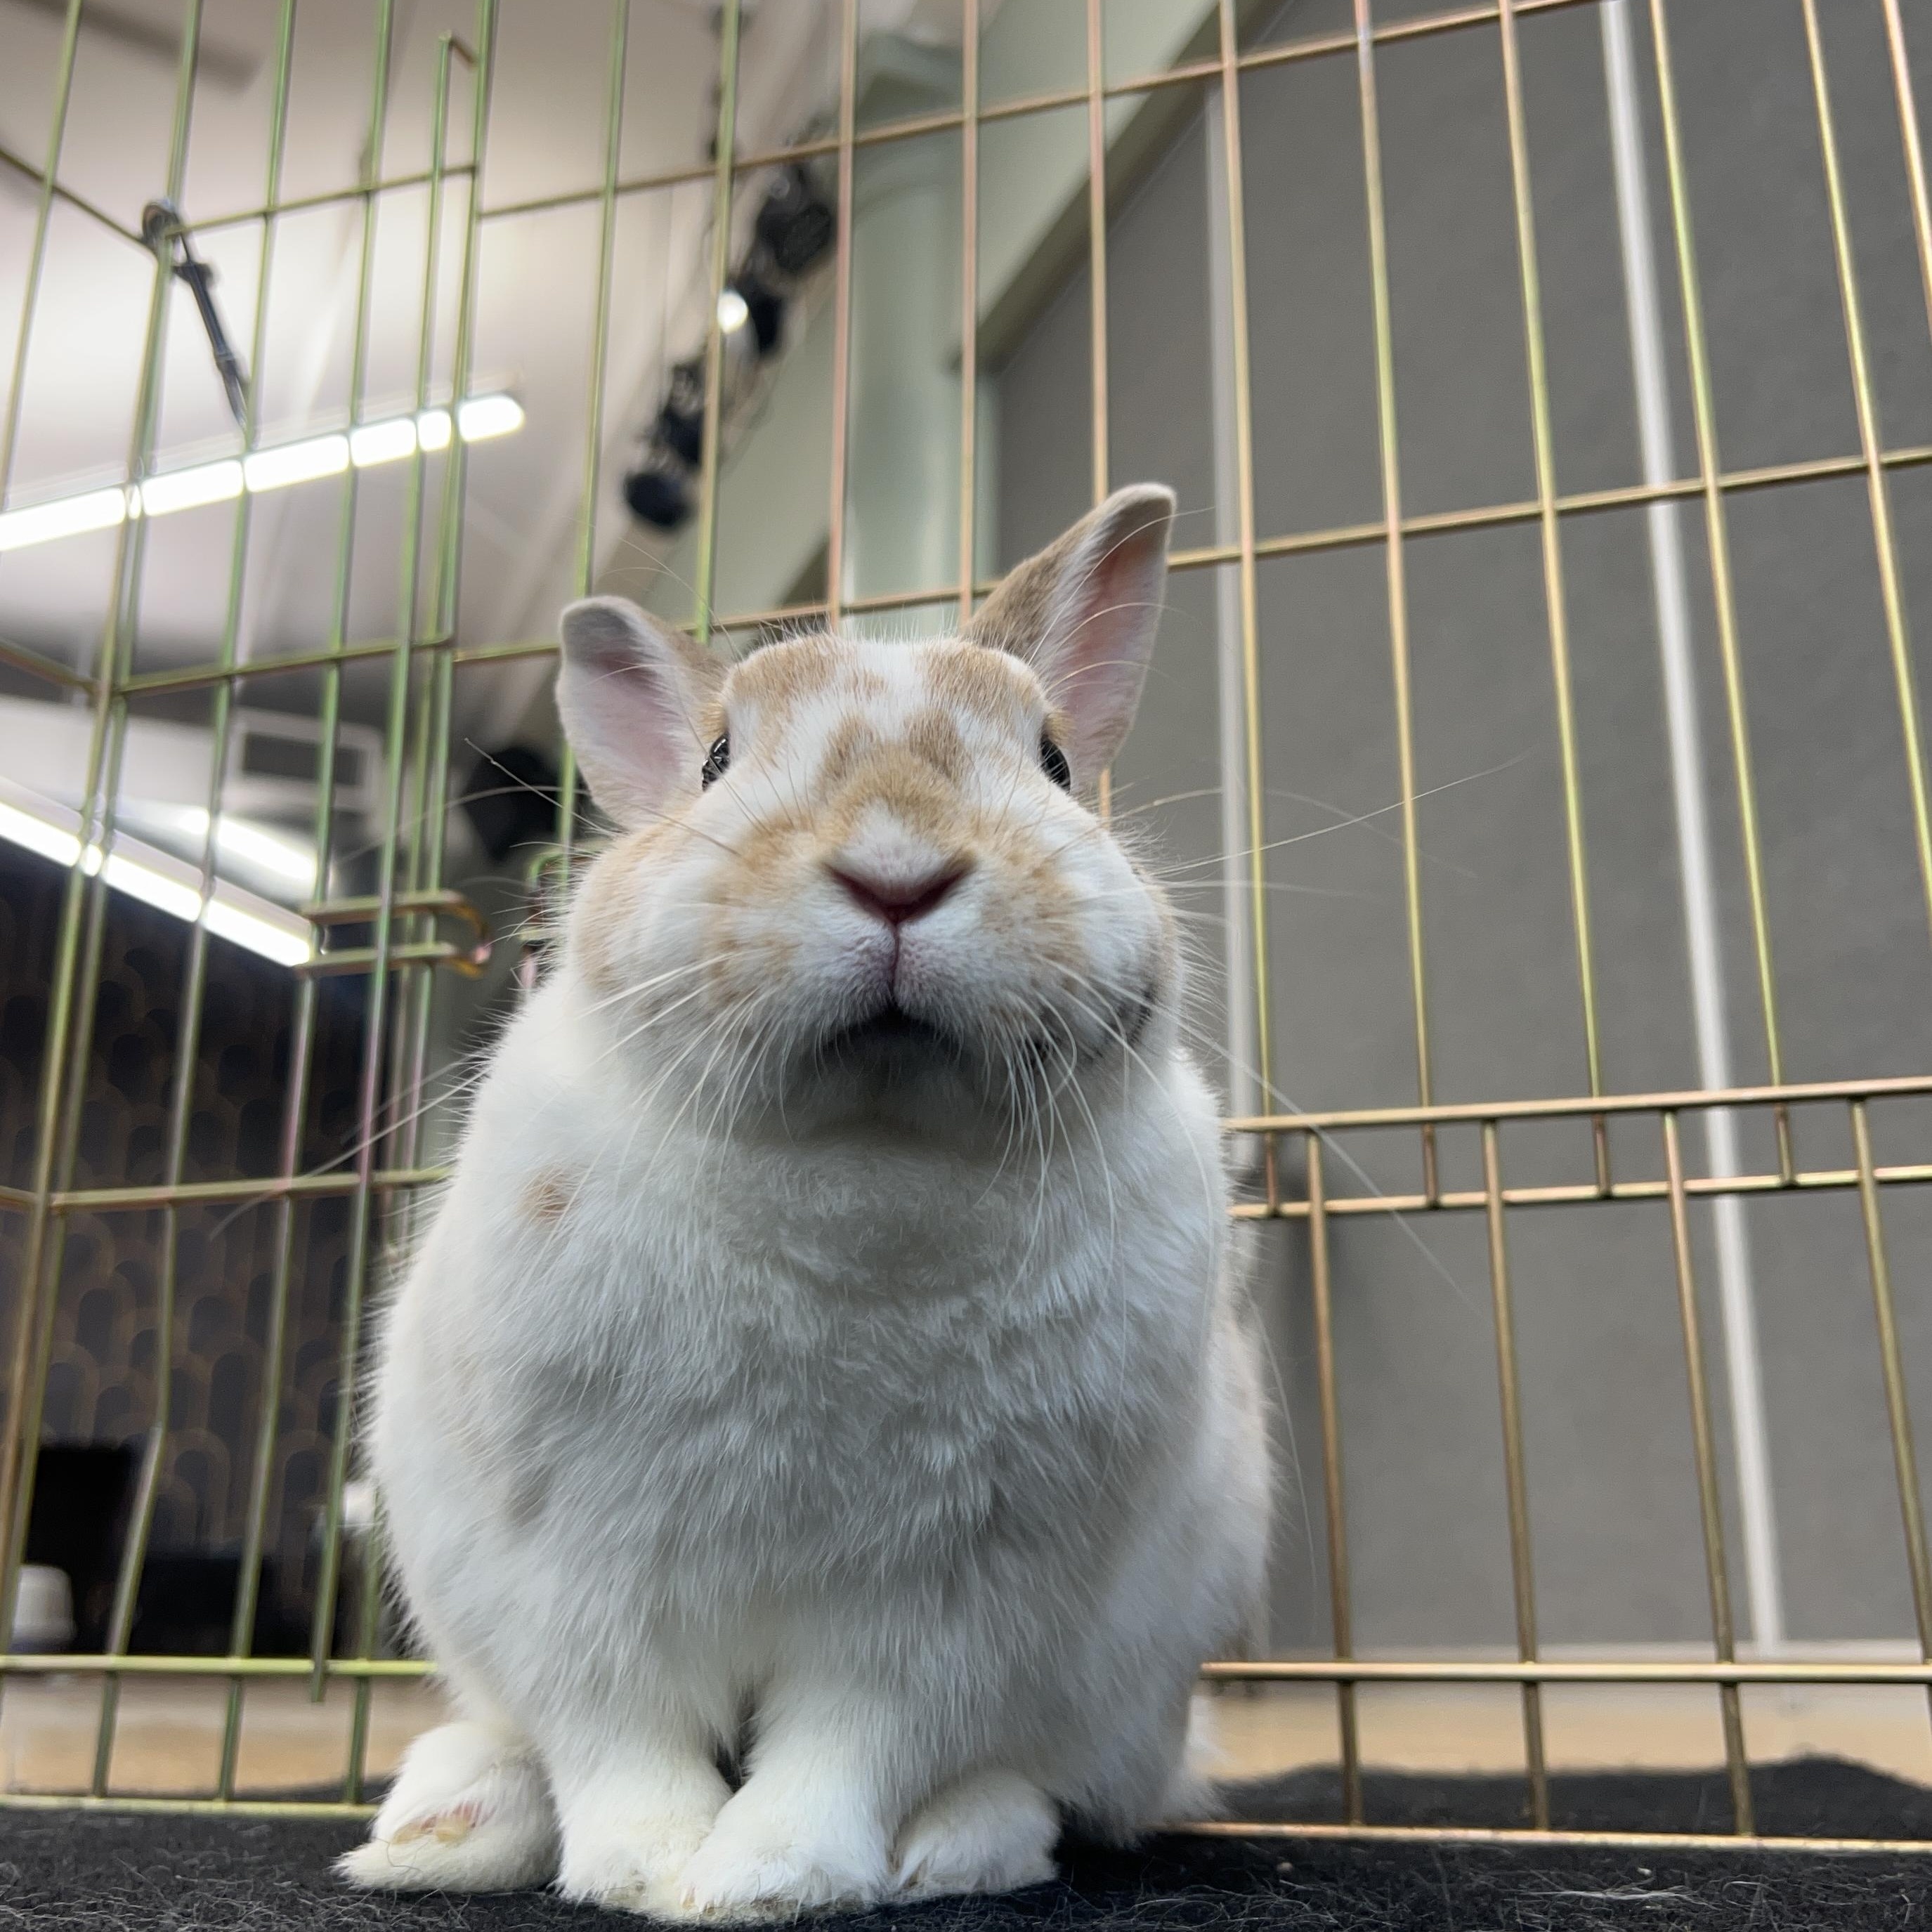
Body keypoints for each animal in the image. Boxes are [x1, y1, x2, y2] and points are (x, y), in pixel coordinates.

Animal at [338, 483, 1273, 1919]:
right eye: (718, 761)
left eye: (1055, 763)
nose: (897, 870)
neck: (860, 1149)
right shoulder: (570, 1568)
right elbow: (617, 1735)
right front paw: (645, 1870)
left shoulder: (952, 1598)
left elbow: (853, 1746)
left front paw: (768, 1881)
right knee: (506, 1734)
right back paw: (442, 1826)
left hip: (1129, 1686)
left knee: (1062, 1786)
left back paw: (959, 1849)